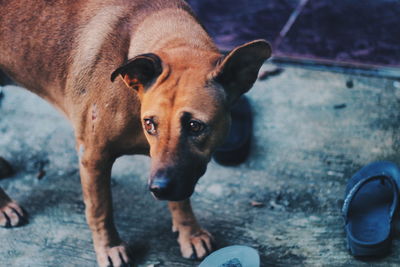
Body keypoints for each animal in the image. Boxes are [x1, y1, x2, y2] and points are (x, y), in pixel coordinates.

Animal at [0, 0, 270, 266]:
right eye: (150, 124)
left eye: (195, 126)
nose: (158, 189)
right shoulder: (93, 156)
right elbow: (100, 209)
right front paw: (109, 247)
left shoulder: (171, 171)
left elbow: (180, 199)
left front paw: (189, 232)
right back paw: (5, 206)